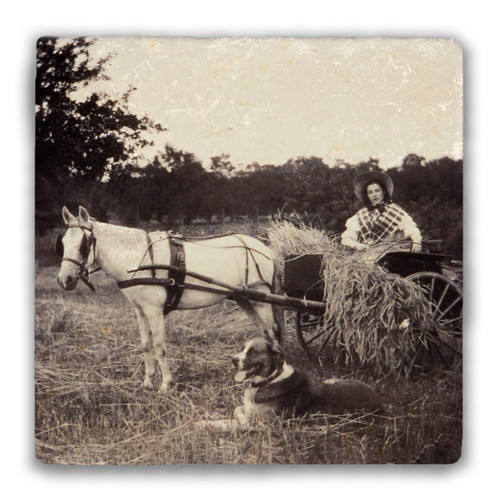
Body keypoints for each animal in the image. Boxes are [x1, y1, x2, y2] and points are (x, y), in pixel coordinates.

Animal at [56, 205, 284, 392]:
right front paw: (148, 382)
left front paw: (166, 384)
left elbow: (159, 346)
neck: (139, 258)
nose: (64, 280)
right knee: (264, 332)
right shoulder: (140, 310)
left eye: (84, 243)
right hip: (243, 298)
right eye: (63, 242)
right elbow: (145, 344)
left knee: (272, 333)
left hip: (260, 299)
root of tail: (264, 248)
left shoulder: (154, 310)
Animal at [230, 336, 382, 426]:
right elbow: (237, 409)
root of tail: (379, 401)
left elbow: (236, 420)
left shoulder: (260, 423)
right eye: (242, 348)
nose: (233, 359)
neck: (271, 379)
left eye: (253, 352)